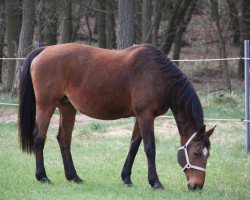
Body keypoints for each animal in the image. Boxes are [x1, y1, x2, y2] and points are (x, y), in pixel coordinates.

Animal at [18, 43, 216, 191]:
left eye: (208, 154)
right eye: (196, 153)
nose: (197, 186)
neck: (158, 75)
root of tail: (44, 50)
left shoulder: (141, 116)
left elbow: (134, 146)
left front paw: (126, 178)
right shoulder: (145, 115)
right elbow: (149, 148)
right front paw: (155, 182)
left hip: (67, 107)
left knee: (64, 139)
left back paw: (74, 177)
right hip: (46, 106)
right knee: (39, 138)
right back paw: (43, 177)